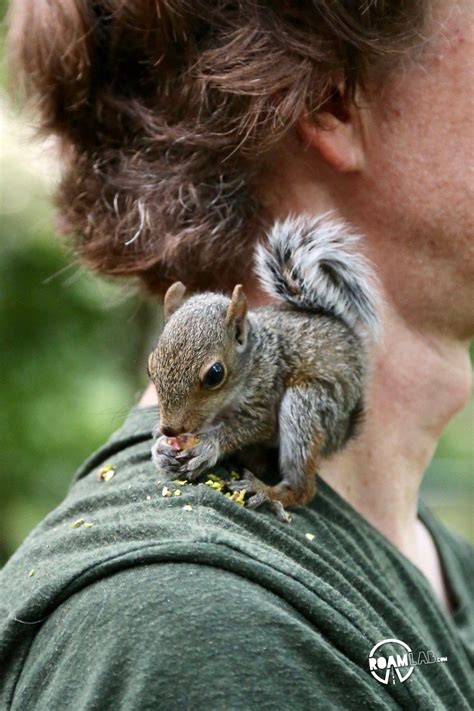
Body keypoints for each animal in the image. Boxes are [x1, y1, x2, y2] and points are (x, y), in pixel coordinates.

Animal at [150, 213, 380, 524]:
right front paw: (160, 447)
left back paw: (267, 491)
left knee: (303, 488)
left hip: (307, 404)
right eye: (151, 367)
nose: (171, 428)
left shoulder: (266, 389)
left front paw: (209, 445)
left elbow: (256, 424)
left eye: (215, 374)